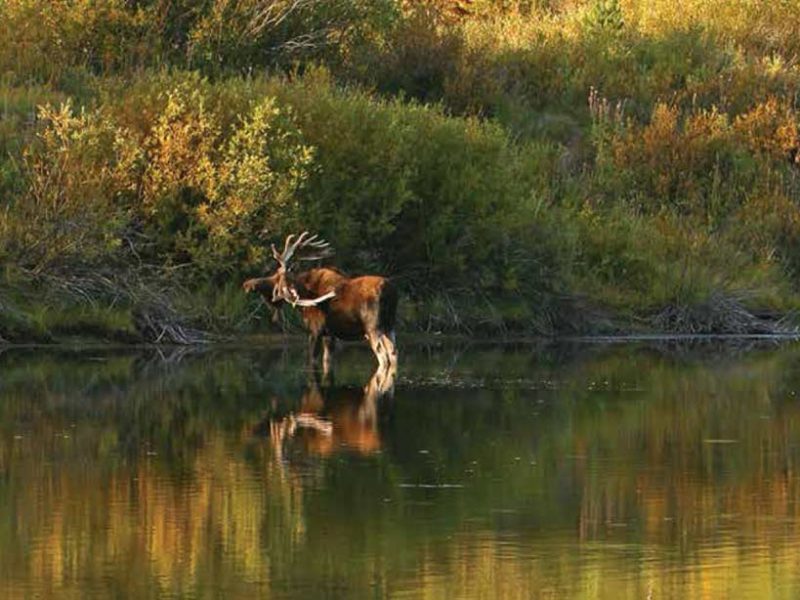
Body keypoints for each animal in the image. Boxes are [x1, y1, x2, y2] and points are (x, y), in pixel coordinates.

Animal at [241, 232, 396, 372]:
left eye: (275, 278)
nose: (247, 284)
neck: (304, 294)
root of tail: (389, 291)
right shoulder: (330, 334)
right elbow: (327, 361)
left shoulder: (315, 330)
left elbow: (312, 360)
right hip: (390, 326)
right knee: (393, 354)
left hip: (373, 328)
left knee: (384, 358)